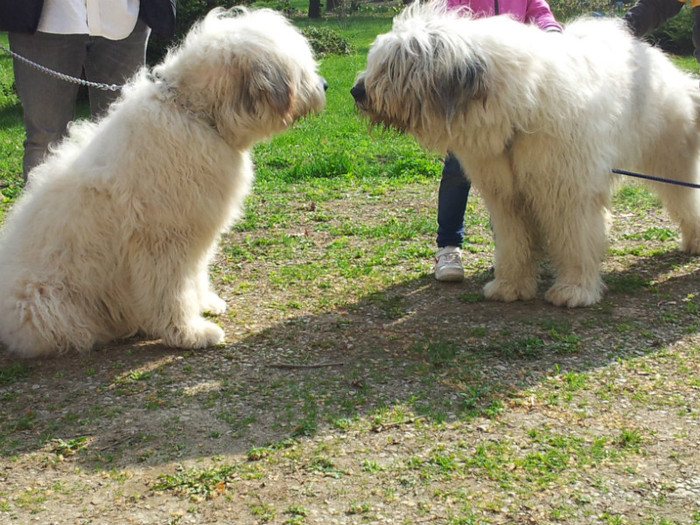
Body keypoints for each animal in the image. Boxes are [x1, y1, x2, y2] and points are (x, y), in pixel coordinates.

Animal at [0, 8, 328, 358]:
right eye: (299, 67)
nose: (325, 84)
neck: (193, 114)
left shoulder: (196, 231)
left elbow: (195, 276)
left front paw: (204, 304)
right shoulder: (162, 239)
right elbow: (171, 290)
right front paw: (188, 332)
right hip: (46, 303)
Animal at [352, 2, 700, 308]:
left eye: (395, 64)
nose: (357, 91)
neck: (521, 108)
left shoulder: (567, 189)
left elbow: (575, 240)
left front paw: (574, 290)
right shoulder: (506, 194)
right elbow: (513, 243)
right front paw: (510, 286)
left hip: (669, 158)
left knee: (685, 199)